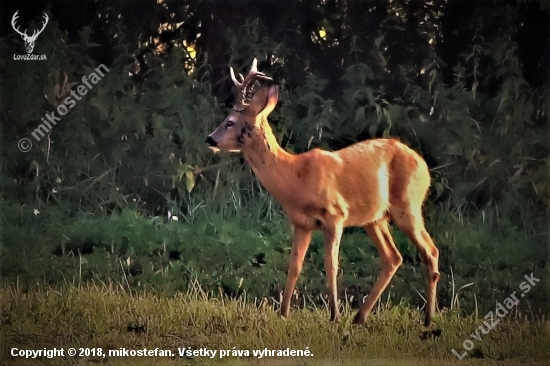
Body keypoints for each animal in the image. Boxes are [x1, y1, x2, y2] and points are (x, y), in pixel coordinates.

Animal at [207, 58, 444, 326]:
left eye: (230, 122)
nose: (210, 139)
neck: (295, 177)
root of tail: (424, 166)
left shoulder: (335, 215)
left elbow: (331, 264)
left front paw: (334, 315)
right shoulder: (302, 223)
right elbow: (294, 266)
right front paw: (283, 313)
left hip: (408, 205)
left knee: (430, 250)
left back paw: (428, 318)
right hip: (374, 218)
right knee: (393, 257)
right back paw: (360, 317)